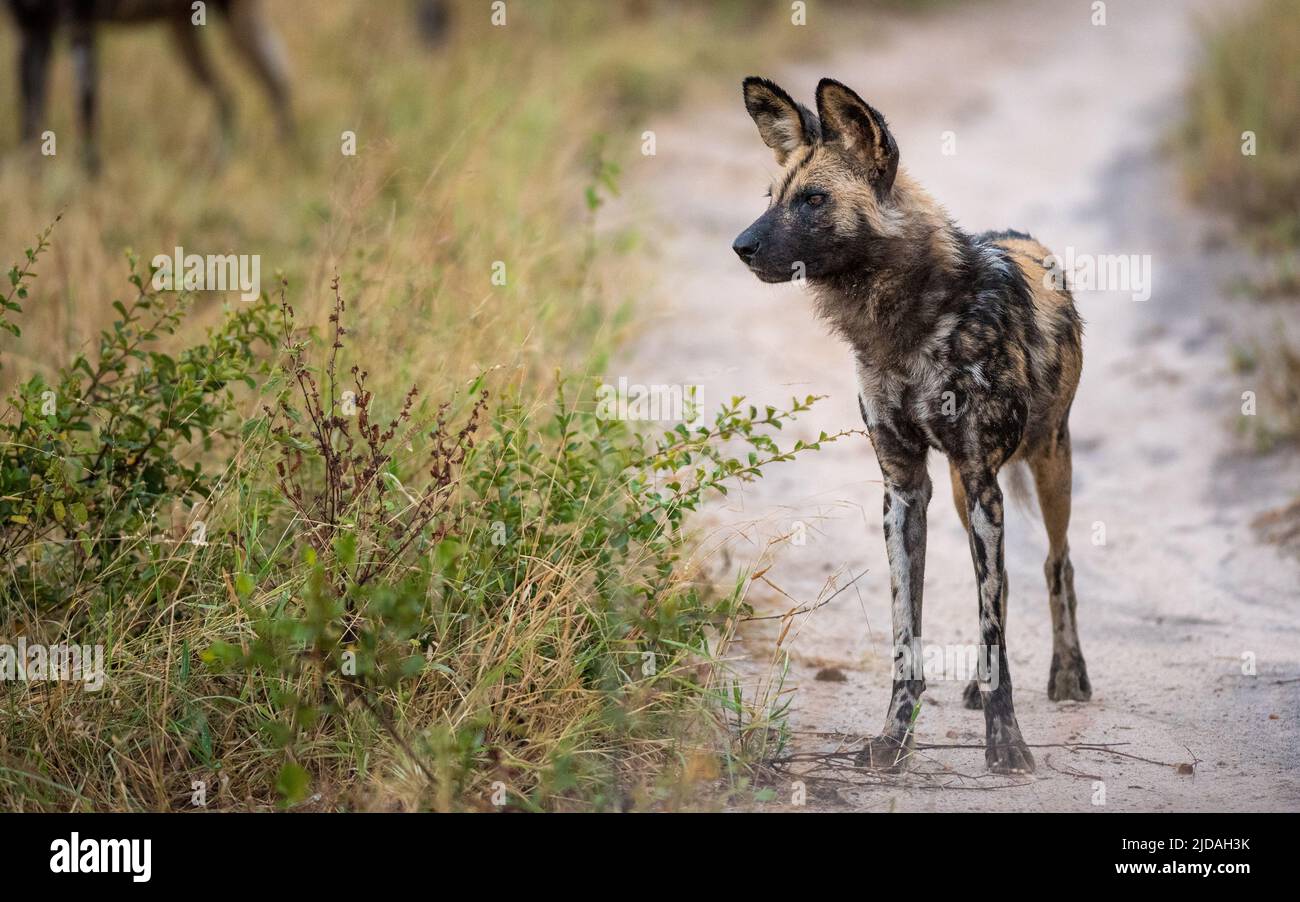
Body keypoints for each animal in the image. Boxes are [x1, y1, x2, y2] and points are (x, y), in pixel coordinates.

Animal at [7, 0, 293, 172]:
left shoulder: (79, 25)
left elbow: (86, 114)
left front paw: (90, 185)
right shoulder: (29, 29)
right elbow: (29, 124)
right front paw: (31, 185)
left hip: (235, 18)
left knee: (277, 81)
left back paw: (282, 155)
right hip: (180, 31)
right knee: (229, 94)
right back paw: (219, 164)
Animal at [738, 76, 1092, 779]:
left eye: (814, 200)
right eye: (772, 199)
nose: (741, 246)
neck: (904, 320)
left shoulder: (982, 481)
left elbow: (994, 629)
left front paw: (1006, 744)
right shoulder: (906, 491)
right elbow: (909, 637)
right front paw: (893, 739)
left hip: (1045, 465)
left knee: (1054, 564)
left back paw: (1069, 675)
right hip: (960, 492)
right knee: (1003, 588)